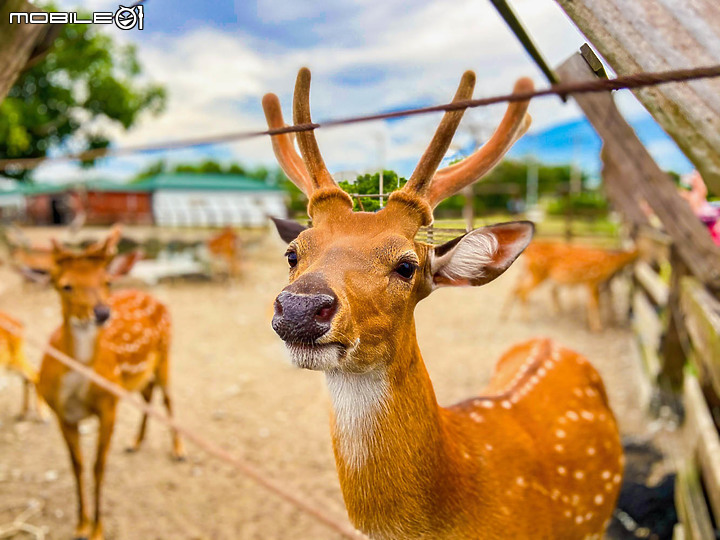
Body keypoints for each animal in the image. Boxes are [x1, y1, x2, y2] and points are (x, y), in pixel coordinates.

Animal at [36, 227, 186, 540]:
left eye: (105, 281)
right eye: (65, 285)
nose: (103, 313)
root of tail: (152, 296)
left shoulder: (108, 406)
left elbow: (98, 467)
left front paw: (97, 529)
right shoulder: (61, 414)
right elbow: (77, 466)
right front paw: (80, 525)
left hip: (165, 352)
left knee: (167, 397)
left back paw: (179, 450)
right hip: (139, 374)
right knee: (148, 394)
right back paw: (135, 442)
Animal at [504, 242, 640, 334]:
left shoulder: (593, 283)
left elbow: (593, 302)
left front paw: (592, 323)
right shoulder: (592, 280)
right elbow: (593, 303)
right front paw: (596, 327)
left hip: (531, 273)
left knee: (517, 287)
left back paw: (506, 315)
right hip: (538, 274)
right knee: (523, 291)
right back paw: (526, 318)